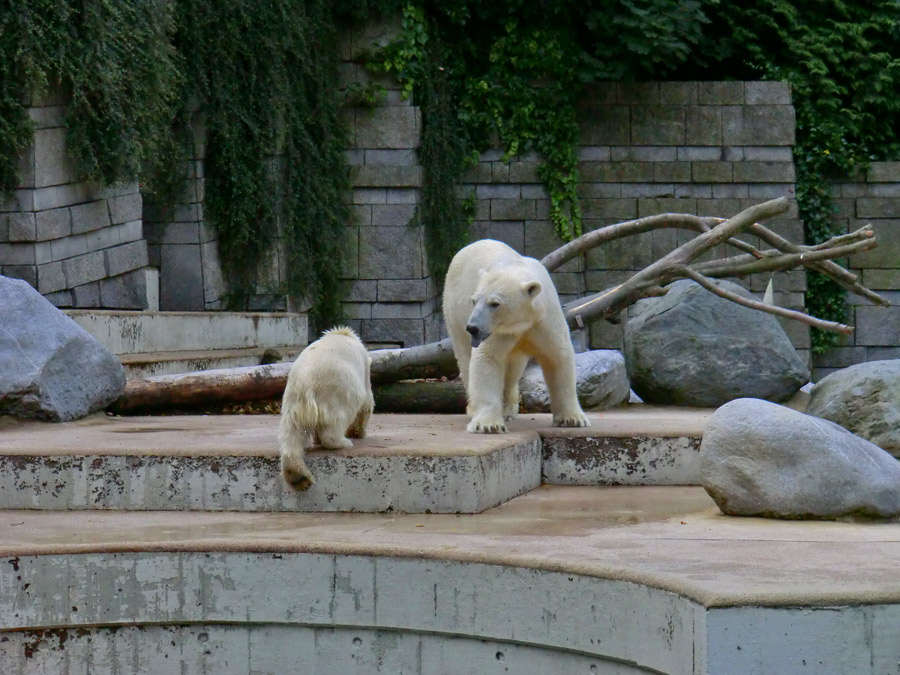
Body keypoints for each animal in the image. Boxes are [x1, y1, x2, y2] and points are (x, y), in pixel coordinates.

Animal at [444, 242, 592, 434]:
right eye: (474, 301)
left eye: (495, 303)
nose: (473, 328)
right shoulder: (499, 332)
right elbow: (487, 359)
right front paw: (488, 424)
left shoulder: (544, 321)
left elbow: (558, 357)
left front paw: (573, 419)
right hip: (454, 311)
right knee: (465, 357)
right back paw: (474, 409)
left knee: (514, 368)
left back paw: (508, 409)